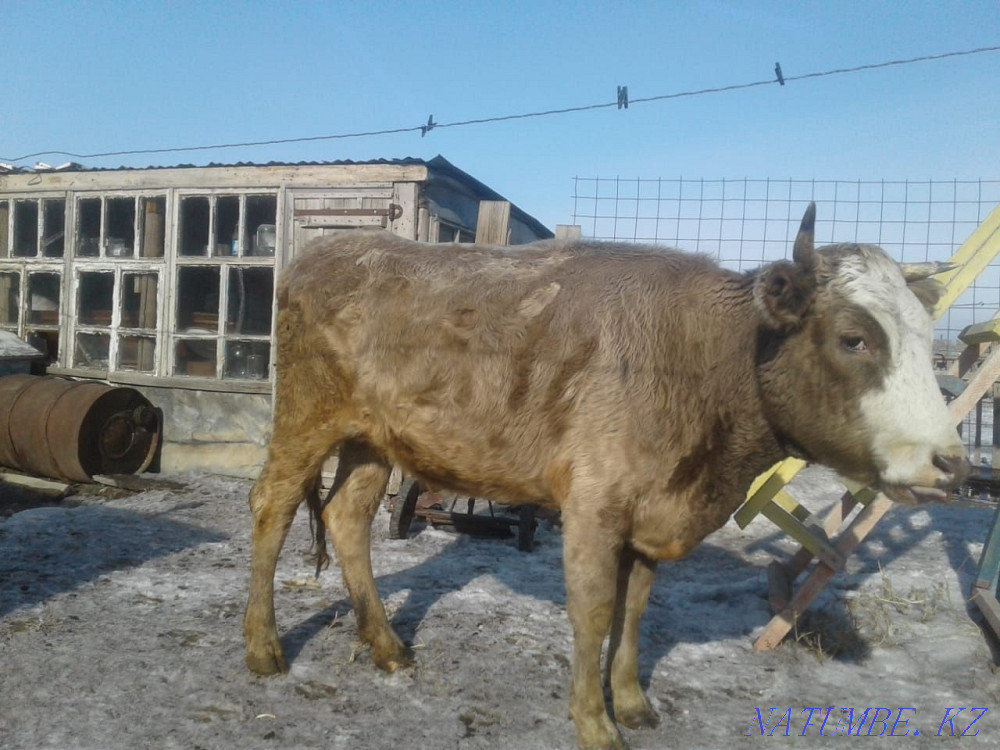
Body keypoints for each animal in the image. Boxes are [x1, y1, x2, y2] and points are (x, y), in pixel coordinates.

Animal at [244, 204, 968, 749]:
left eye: (925, 337)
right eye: (854, 338)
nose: (951, 462)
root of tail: (331, 251)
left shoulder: (651, 513)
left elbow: (635, 609)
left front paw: (633, 701)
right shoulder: (595, 505)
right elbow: (592, 612)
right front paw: (595, 723)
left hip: (373, 439)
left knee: (346, 517)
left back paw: (388, 647)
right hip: (305, 418)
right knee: (270, 507)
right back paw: (263, 650)